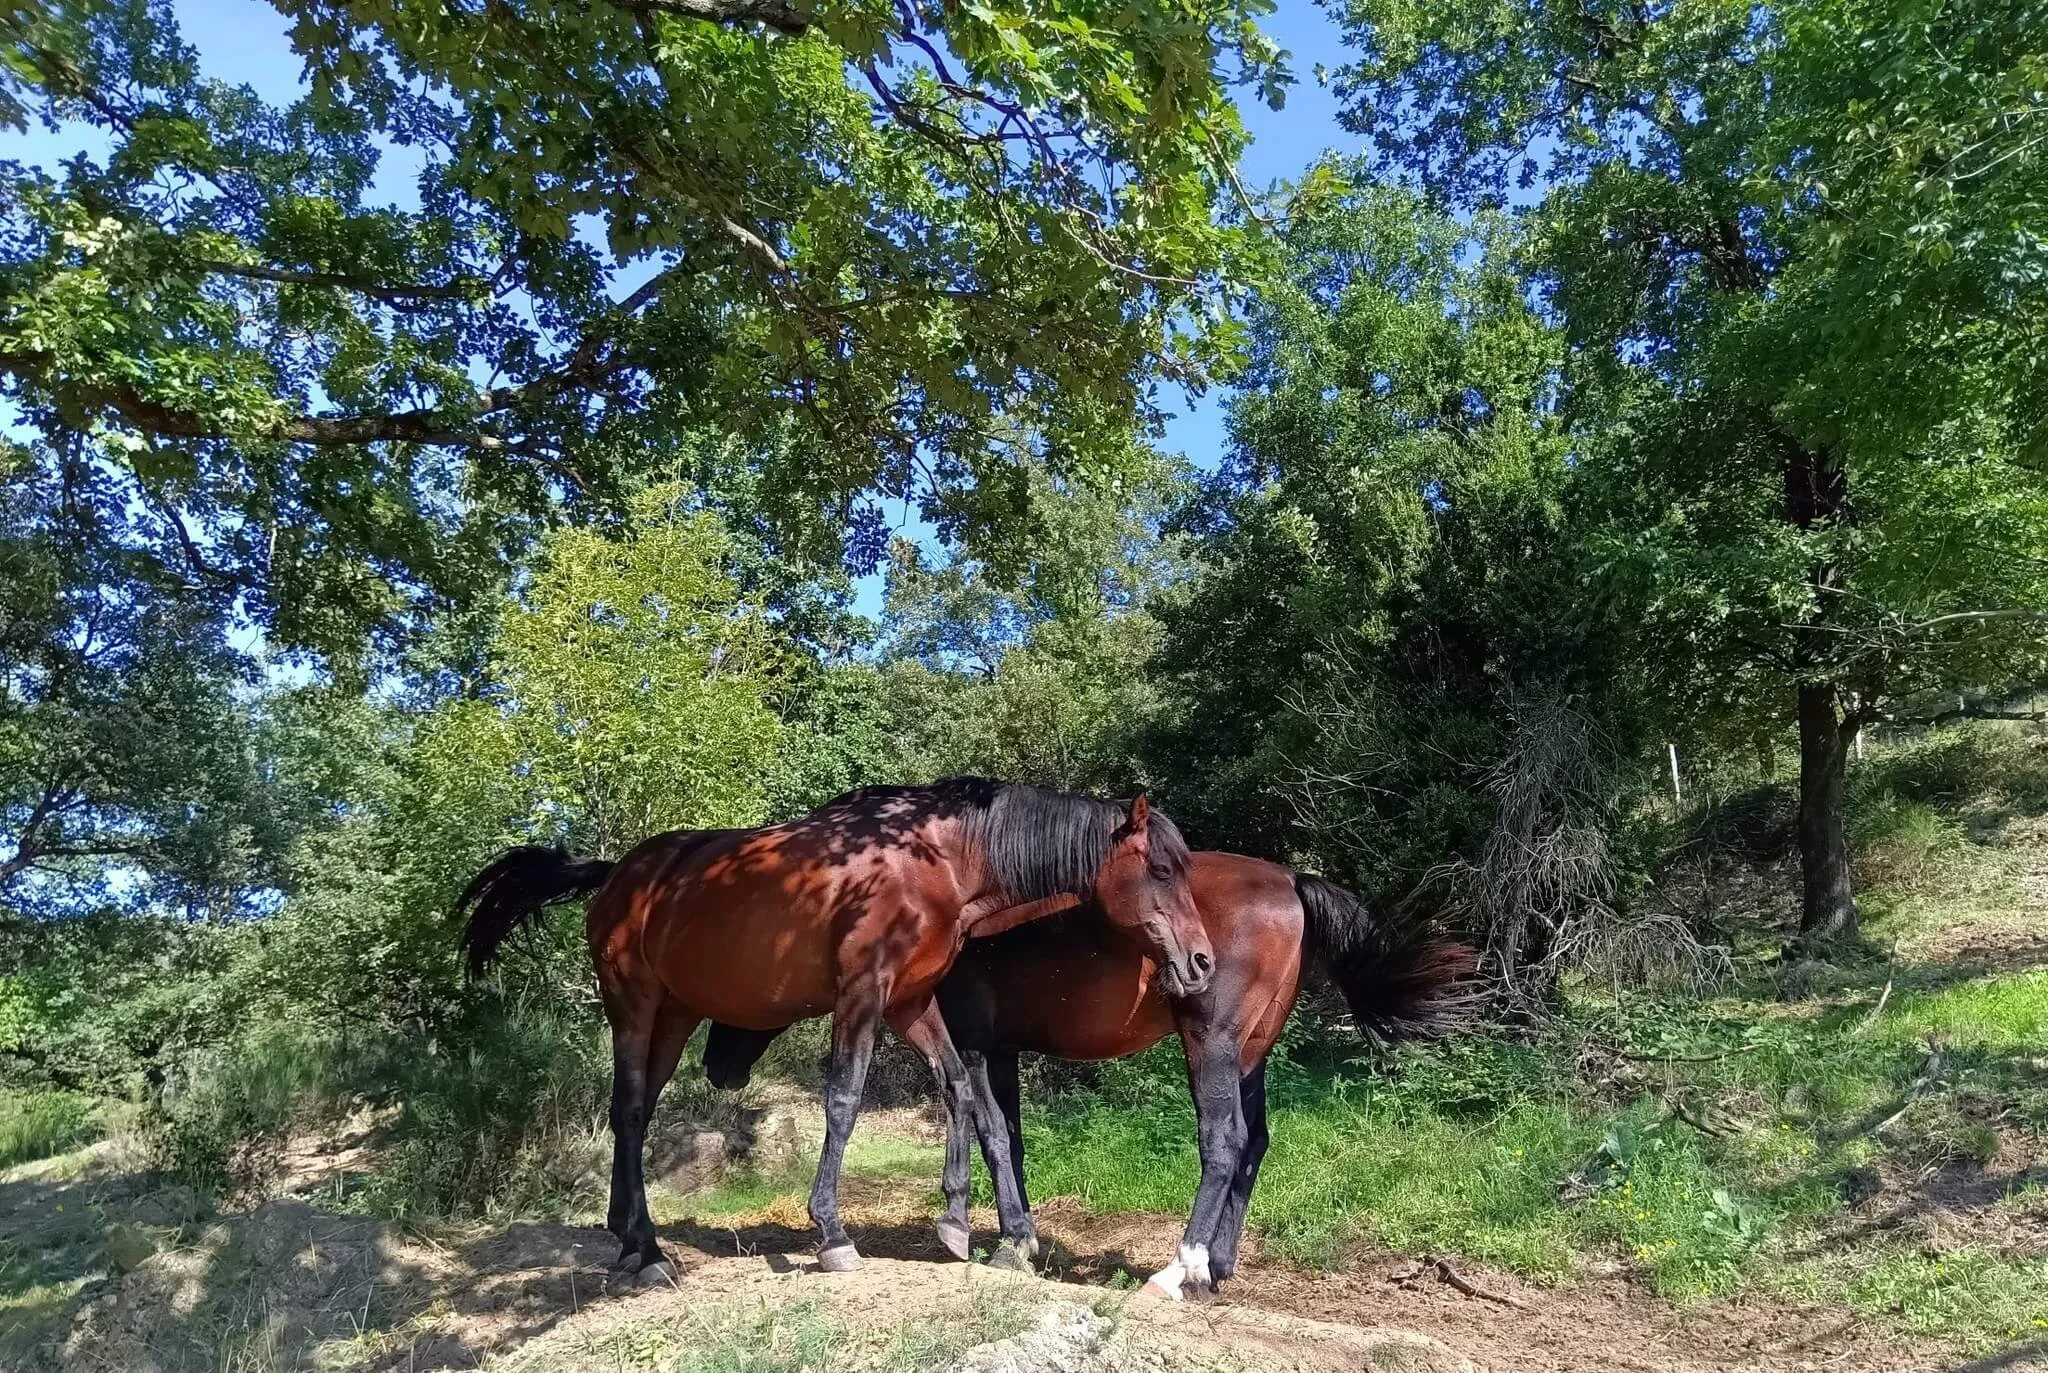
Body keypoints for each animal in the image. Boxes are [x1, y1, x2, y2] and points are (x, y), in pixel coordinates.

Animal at [453, 778, 1212, 1281]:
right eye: (1161, 868)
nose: (1201, 962)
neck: (934, 860)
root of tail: (620, 875)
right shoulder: (862, 997)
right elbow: (844, 1102)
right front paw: (832, 1233)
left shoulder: (912, 1002)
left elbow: (960, 1092)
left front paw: (957, 1222)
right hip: (632, 1005)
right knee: (632, 1110)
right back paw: (645, 1248)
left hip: (673, 1016)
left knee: (632, 1112)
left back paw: (629, 1237)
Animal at [702, 850, 1475, 1299]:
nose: (715, 1067)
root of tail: (1288, 879)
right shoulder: (1000, 1052)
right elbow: (1008, 1139)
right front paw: (1015, 1237)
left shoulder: (974, 1046)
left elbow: (986, 1130)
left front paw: (999, 1239)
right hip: (1250, 1055)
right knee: (1253, 1147)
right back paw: (1216, 1269)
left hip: (1212, 1045)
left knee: (1223, 1145)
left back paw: (1178, 1269)